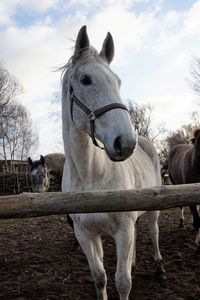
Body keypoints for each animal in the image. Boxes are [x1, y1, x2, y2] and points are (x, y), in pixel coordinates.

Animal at [61, 25, 166, 300]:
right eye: (86, 79)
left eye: (118, 81)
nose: (125, 143)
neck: (91, 177)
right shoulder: (86, 235)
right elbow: (100, 277)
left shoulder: (123, 229)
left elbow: (122, 282)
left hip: (153, 208)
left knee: (153, 232)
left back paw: (160, 268)